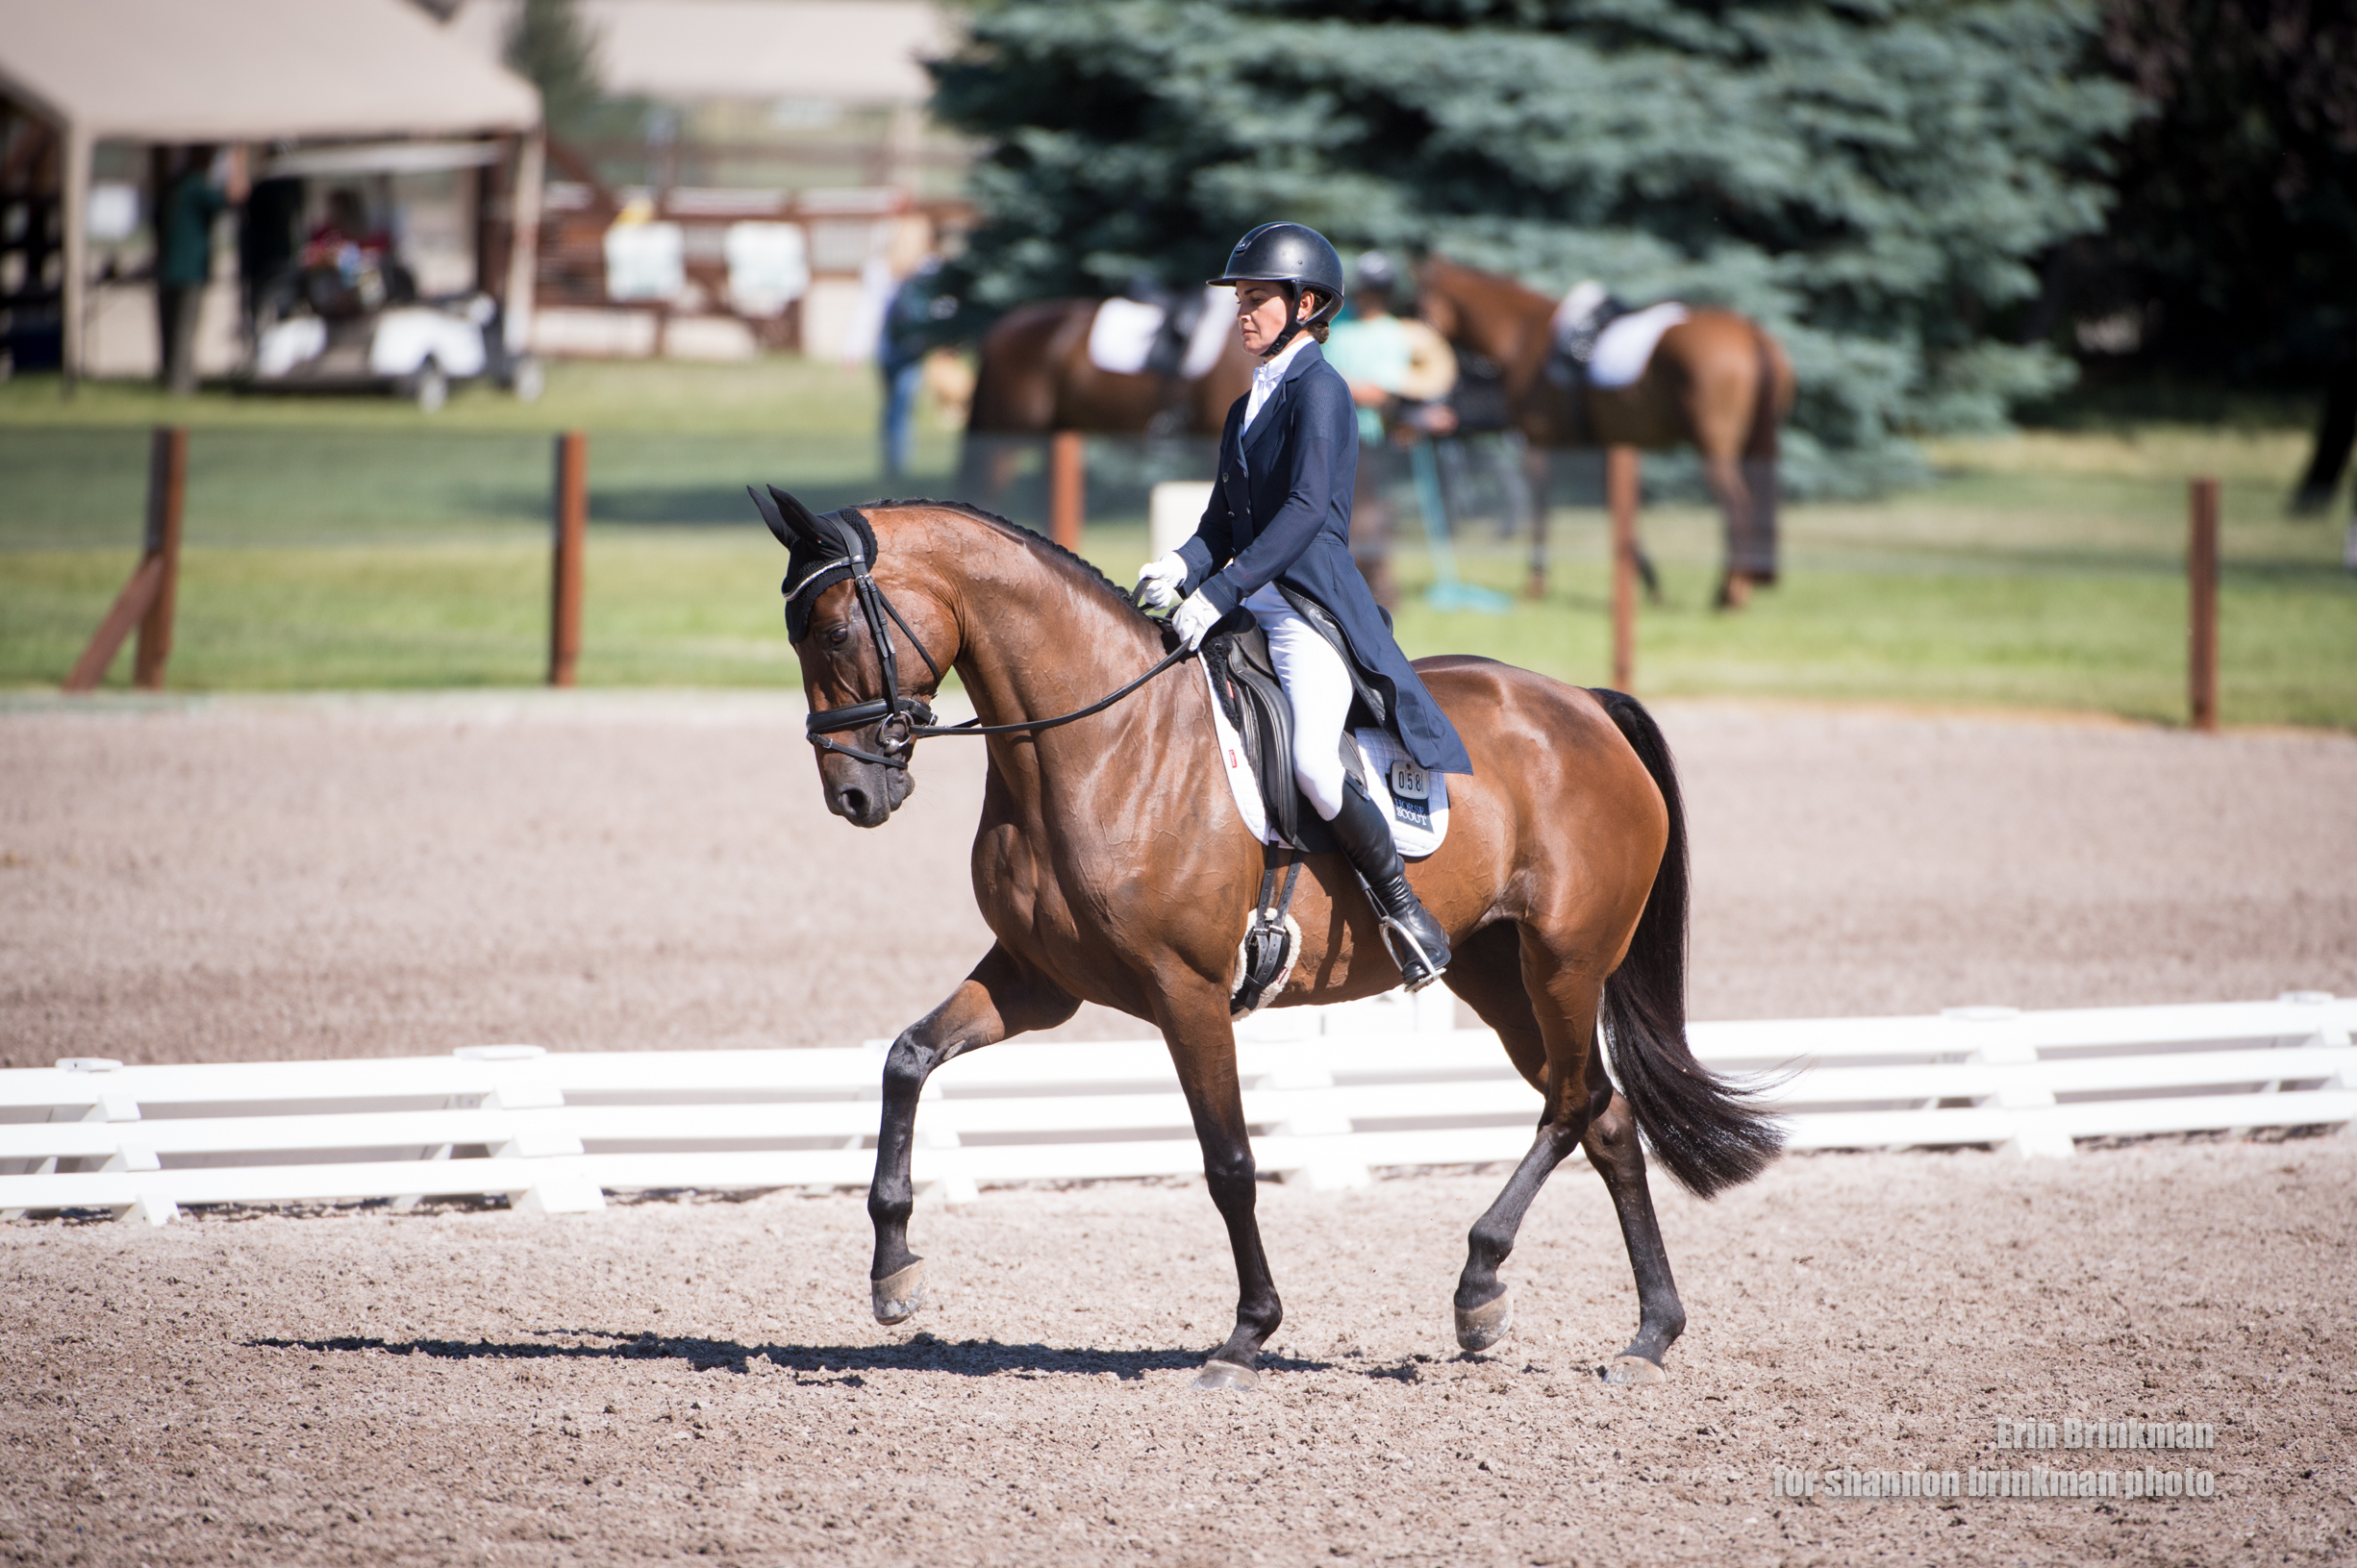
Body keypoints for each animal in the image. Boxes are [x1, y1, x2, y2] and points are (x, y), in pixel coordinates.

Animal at [764, 492, 1772, 1395]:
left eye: (835, 632)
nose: (853, 796)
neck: (1099, 745)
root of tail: (1588, 708)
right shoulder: (1037, 979)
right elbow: (905, 1058)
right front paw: (892, 1271)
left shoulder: (1187, 991)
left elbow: (1231, 1163)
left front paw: (1246, 1336)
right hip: (1497, 972)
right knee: (1604, 1115)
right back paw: (1646, 1334)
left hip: (1564, 960)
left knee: (1572, 1102)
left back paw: (1481, 1282)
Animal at [1404, 257, 1791, 603]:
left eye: (1417, 305)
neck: (1524, 335)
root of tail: (1751, 333)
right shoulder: (1605, 446)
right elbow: (1620, 517)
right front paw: (1648, 582)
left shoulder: (1540, 441)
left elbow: (1542, 509)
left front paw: (1536, 584)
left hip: (1713, 445)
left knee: (1738, 508)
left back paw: (1730, 592)